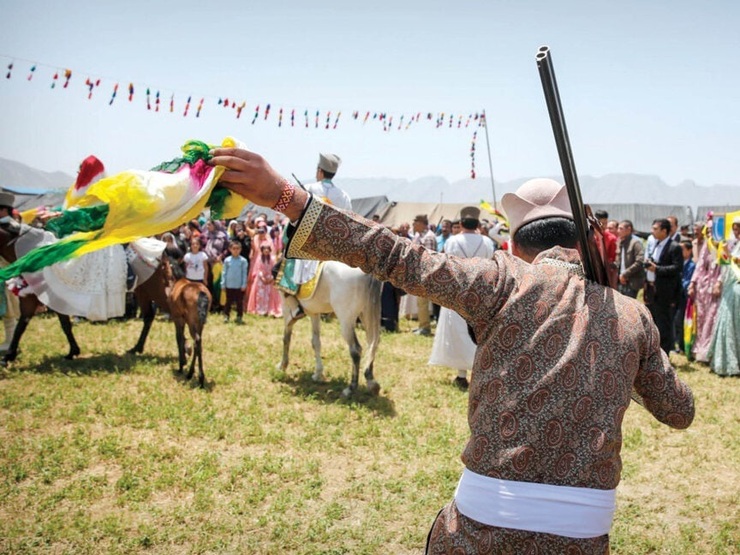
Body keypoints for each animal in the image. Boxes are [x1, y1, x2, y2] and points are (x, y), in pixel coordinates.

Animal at [0, 222, 169, 364]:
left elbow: (61, 325)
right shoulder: (40, 299)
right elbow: (24, 325)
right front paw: (9, 355)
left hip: (155, 289)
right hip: (143, 291)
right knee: (148, 316)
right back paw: (137, 348)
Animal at [278, 262, 382, 400]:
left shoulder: (286, 307)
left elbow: (286, 338)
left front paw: (282, 365)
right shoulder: (314, 312)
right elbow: (315, 342)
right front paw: (317, 374)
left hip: (346, 320)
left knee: (356, 350)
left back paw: (350, 389)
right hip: (367, 315)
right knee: (372, 345)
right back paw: (372, 383)